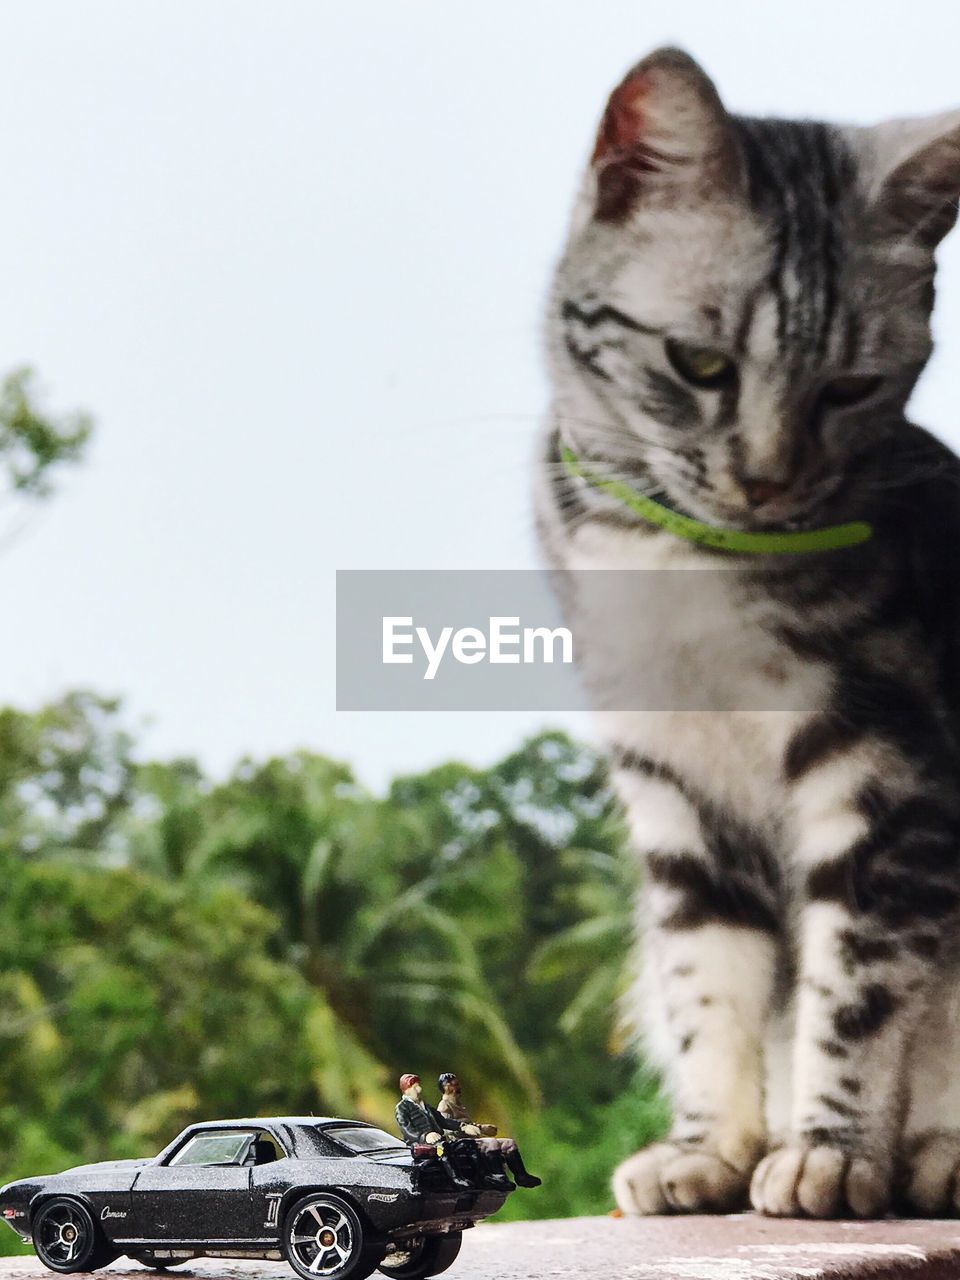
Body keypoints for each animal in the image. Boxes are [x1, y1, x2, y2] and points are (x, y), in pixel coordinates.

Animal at [537, 49, 960, 1218]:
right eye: (699, 363)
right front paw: (713, 1148)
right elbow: (707, 984)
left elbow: (852, 989)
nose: (768, 481)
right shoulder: (673, 789)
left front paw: (830, 1150)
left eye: (853, 386)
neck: (676, 562)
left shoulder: (882, 765)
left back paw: (935, 1156)